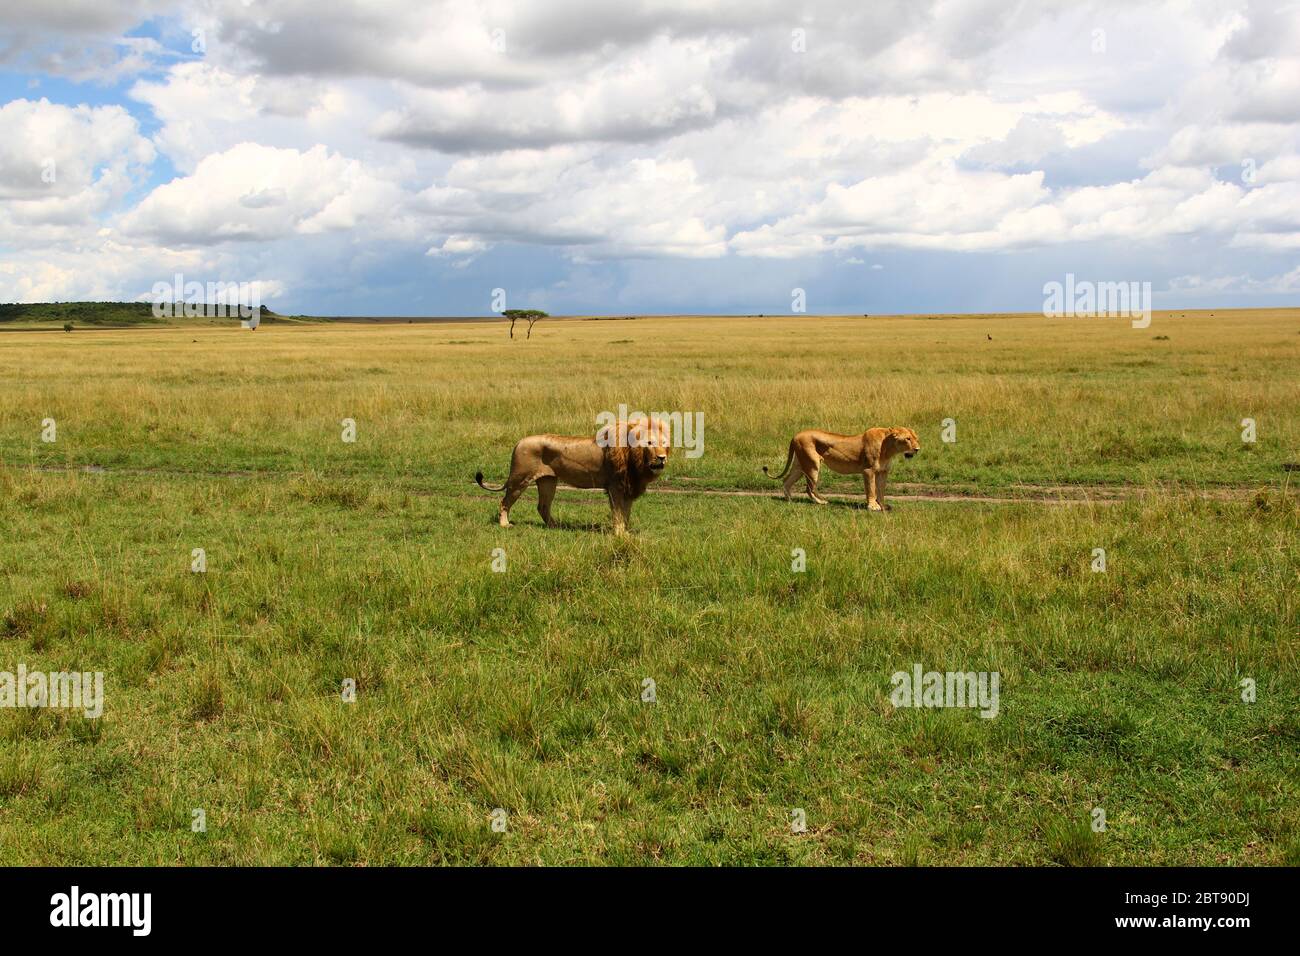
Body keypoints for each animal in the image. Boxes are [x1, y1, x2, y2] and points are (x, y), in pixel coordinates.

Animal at [473, 418, 670, 535]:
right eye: (650, 443)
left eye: (664, 443)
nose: (662, 458)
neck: (635, 458)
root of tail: (519, 441)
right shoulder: (615, 487)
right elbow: (618, 513)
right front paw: (620, 534)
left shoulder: (628, 486)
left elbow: (626, 513)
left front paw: (625, 532)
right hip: (519, 479)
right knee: (504, 502)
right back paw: (505, 524)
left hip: (547, 481)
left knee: (542, 506)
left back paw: (555, 527)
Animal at [764, 429, 920, 512]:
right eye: (908, 439)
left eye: (916, 438)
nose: (918, 449)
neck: (888, 448)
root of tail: (795, 435)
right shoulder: (868, 471)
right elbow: (871, 489)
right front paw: (872, 506)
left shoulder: (883, 472)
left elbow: (881, 490)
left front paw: (882, 505)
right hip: (812, 465)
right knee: (809, 488)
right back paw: (821, 502)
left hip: (800, 465)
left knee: (786, 481)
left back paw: (789, 500)